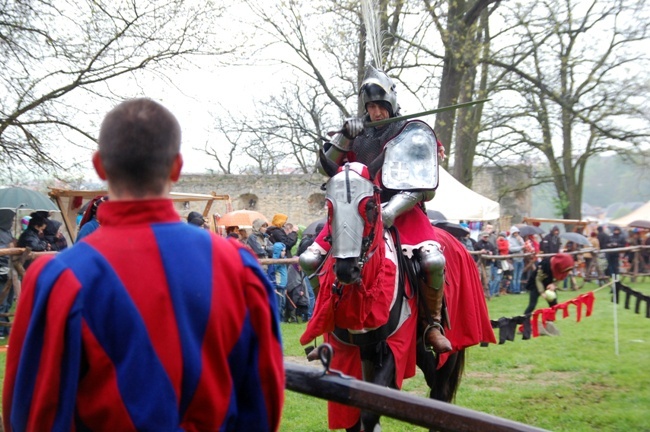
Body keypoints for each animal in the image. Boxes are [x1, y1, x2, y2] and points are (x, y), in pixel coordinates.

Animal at [302, 154, 494, 430]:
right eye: (329, 206)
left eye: (371, 205)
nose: (347, 269)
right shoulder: (347, 352)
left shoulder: (396, 346)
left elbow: (370, 414)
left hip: (451, 345)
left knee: (439, 392)